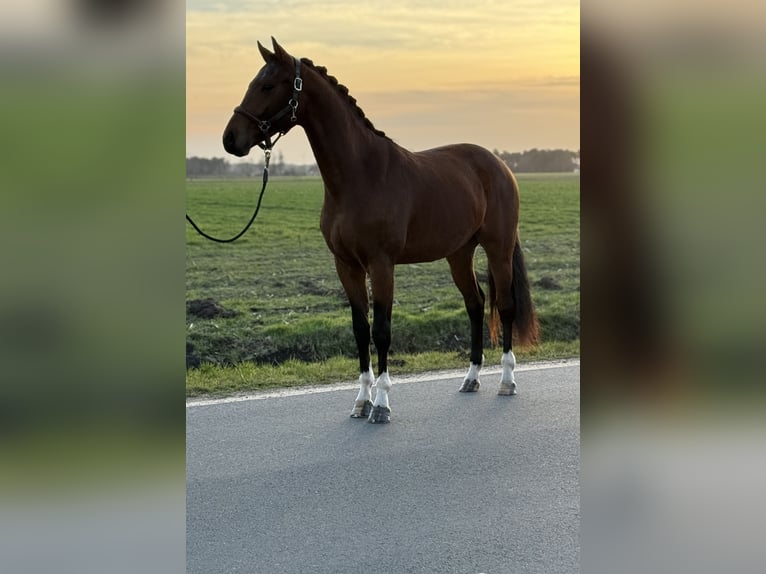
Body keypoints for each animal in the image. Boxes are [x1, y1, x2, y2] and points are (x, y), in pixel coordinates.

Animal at [224, 36, 540, 424]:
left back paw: (507, 381)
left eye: (268, 85)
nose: (230, 139)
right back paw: (471, 378)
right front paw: (361, 401)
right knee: (475, 303)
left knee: (506, 306)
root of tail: (499, 165)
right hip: (459, 253)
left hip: (498, 247)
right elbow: (361, 331)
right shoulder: (346, 266)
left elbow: (383, 330)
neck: (360, 175)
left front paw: (382, 404)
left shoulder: (381, 264)